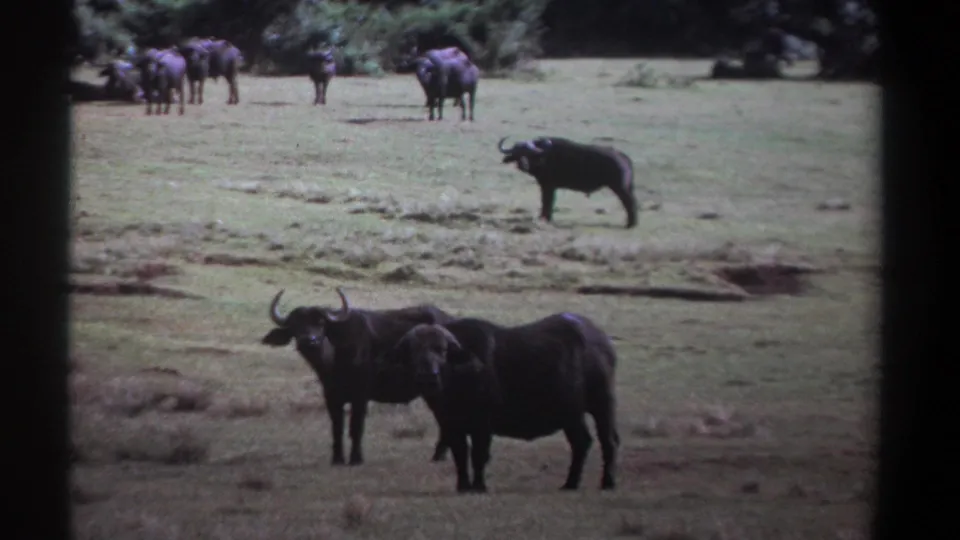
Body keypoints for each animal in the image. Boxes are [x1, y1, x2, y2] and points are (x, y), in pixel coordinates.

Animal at [261, 287, 455, 465]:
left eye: (321, 322)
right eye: (295, 325)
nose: (310, 340)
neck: (335, 358)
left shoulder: (360, 396)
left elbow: (356, 426)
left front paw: (356, 458)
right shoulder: (331, 397)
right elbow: (337, 427)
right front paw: (337, 459)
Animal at [386, 312, 620, 493]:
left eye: (441, 349)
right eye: (413, 351)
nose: (428, 375)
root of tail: (601, 340)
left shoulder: (483, 424)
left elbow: (479, 454)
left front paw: (478, 486)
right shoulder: (450, 424)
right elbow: (459, 454)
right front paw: (463, 485)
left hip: (601, 404)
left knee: (607, 441)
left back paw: (606, 482)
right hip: (571, 414)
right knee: (582, 442)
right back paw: (571, 483)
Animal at [497, 136, 639, 229]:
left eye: (529, 153)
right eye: (516, 153)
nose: (522, 165)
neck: (544, 156)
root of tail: (623, 157)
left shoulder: (548, 186)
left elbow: (547, 201)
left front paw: (545, 218)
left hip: (620, 187)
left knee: (629, 202)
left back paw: (631, 224)